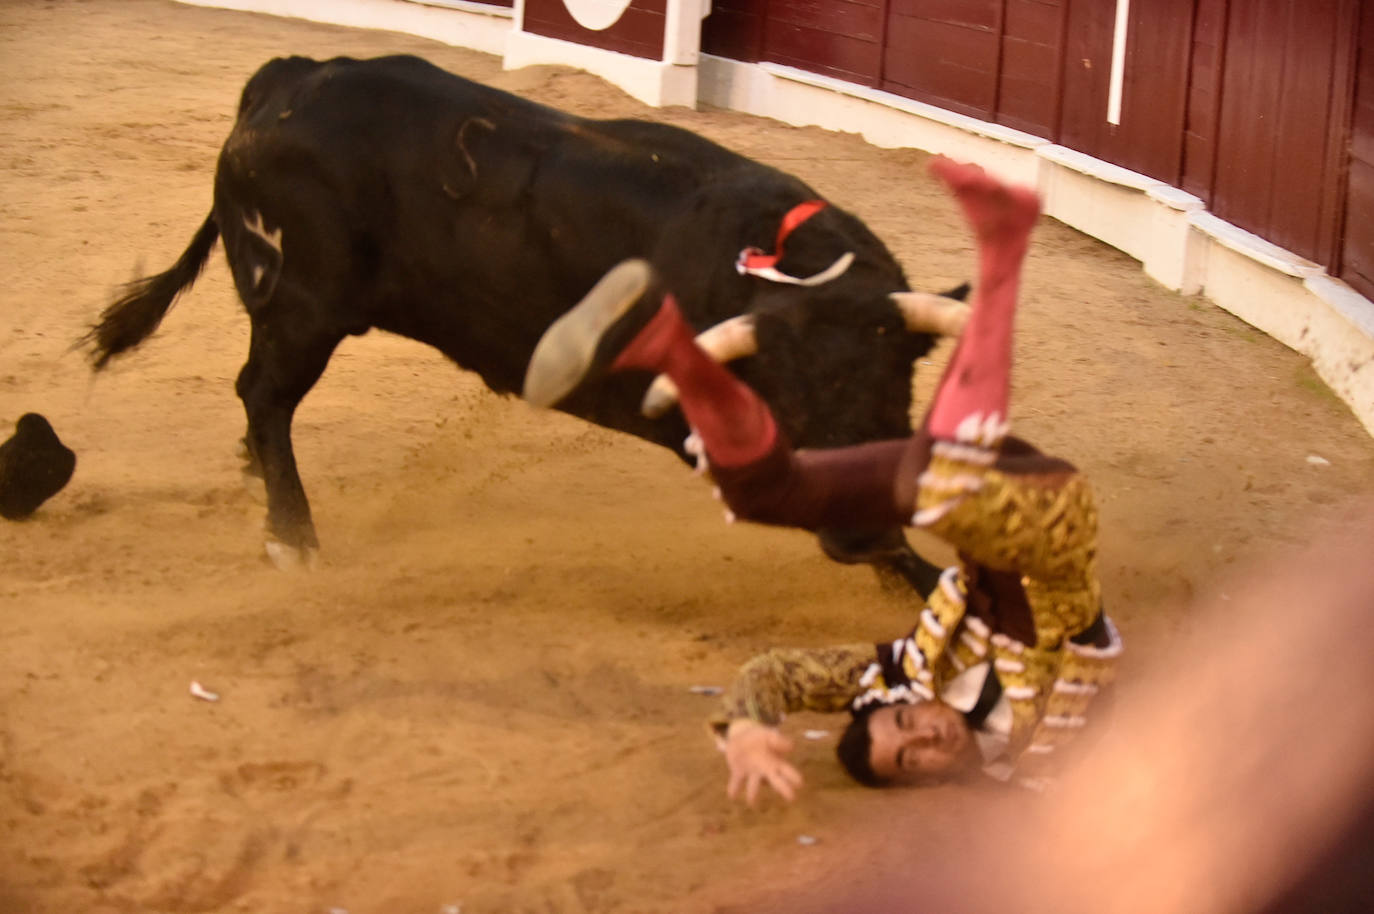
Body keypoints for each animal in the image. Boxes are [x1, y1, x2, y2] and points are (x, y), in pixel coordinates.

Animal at [91, 53, 961, 588]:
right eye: (787, 401)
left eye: (896, 392)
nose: (862, 536)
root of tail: (287, 80)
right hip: (304, 305)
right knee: (264, 394)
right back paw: (291, 535)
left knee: (258, 398)